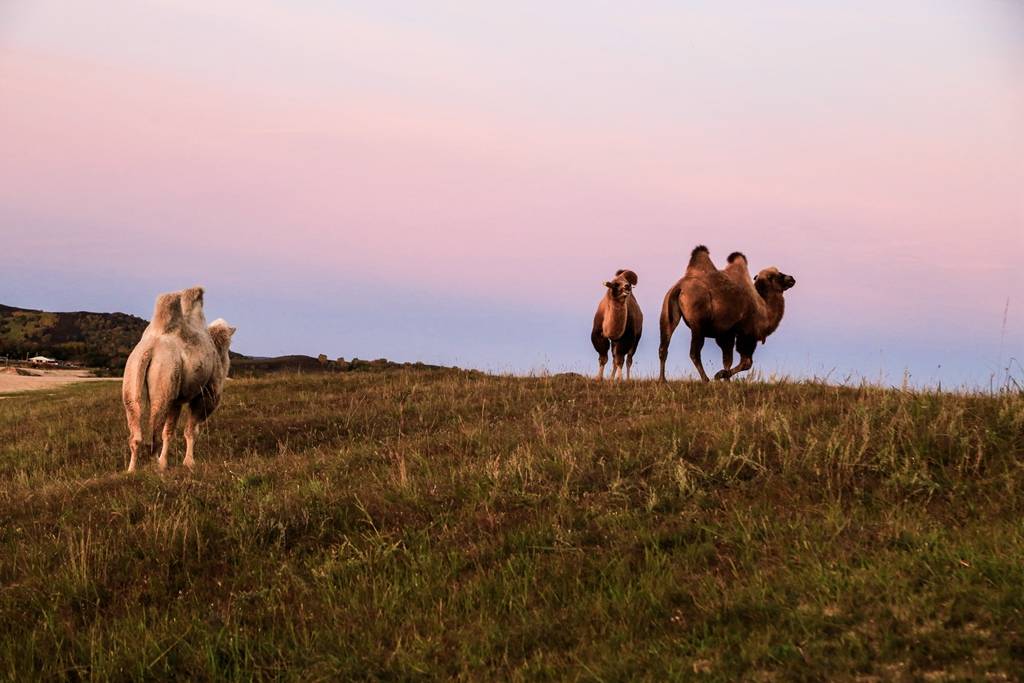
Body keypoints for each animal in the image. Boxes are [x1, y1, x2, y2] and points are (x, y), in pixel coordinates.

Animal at [659, 246, 794, 385]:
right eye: (778, 275)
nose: (791, 278)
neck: (764, 310)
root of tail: (680, 288)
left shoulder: (725, 334)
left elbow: (727, 360)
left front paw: (726, 381)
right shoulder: (744, 333)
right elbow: (745, 363)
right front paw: (720, 375)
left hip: (666, 314)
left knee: (664, 347)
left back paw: (663, 380)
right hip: (698, 323)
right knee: (694, 352)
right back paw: (705, 379)